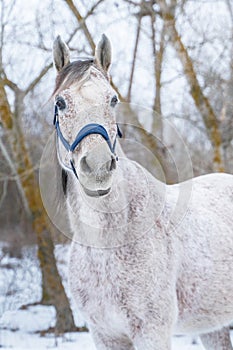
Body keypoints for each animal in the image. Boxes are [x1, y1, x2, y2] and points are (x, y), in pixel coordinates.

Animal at [51, 33, 233, 350]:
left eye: (113, 99)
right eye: (61, 102)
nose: (98, 166)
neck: (106, 243)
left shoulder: (152, 332)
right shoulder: (105, 335)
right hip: (214, 326)